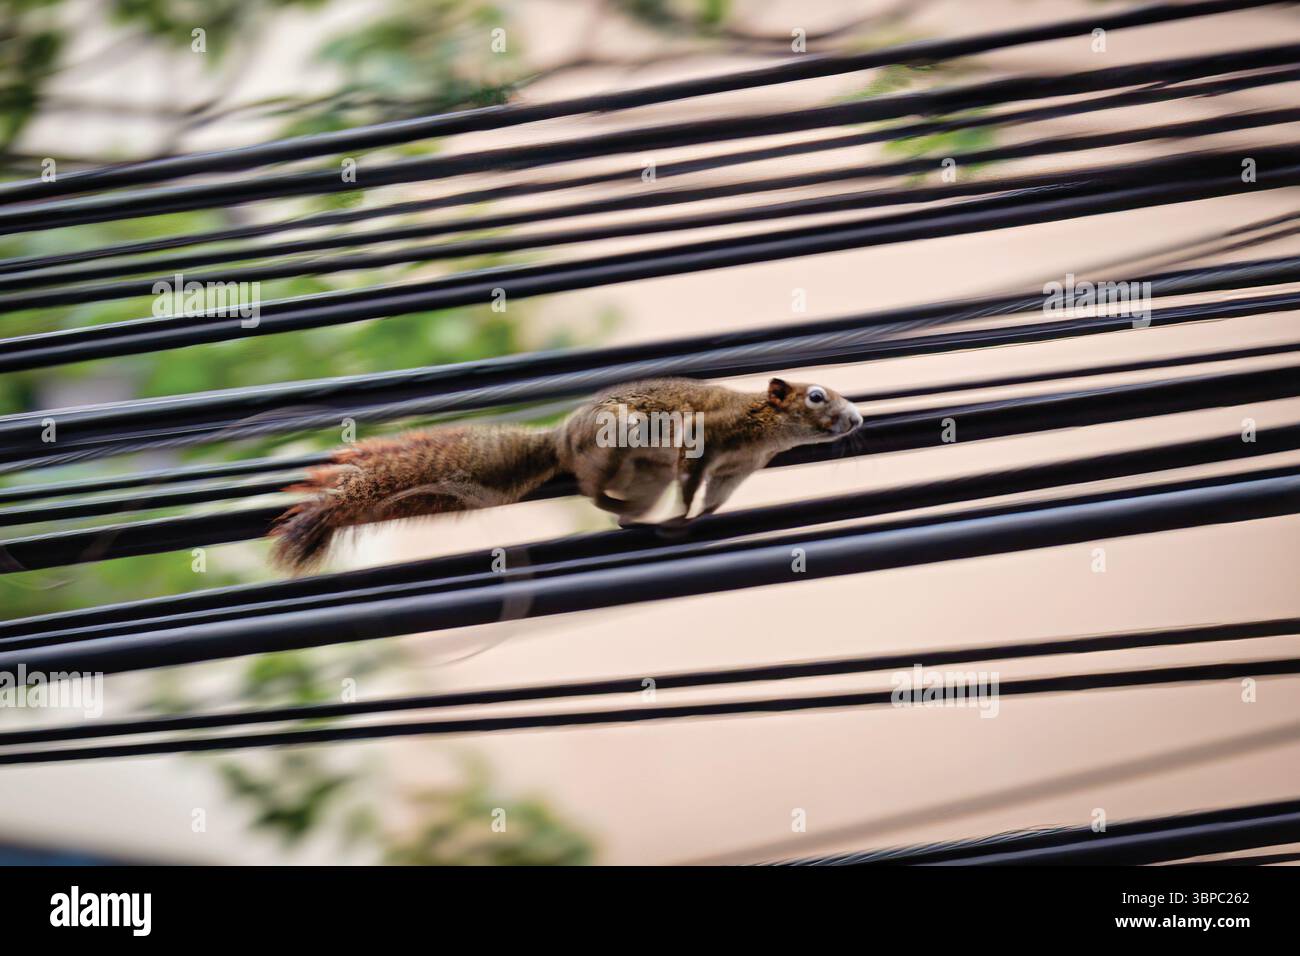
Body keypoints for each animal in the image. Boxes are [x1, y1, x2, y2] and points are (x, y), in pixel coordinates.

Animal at [269, 377, 863, 573]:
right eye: (816, 396)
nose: (857, 418)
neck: (762, 431)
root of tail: (560, 436)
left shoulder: (736, 469)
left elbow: (717, 492)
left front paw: (704, 514)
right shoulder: (708, 437)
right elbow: (693, 476)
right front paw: (686, 514)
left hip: (645, 479)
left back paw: (629, 518)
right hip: (617, 437)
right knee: (590, 487)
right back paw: (614, 506)